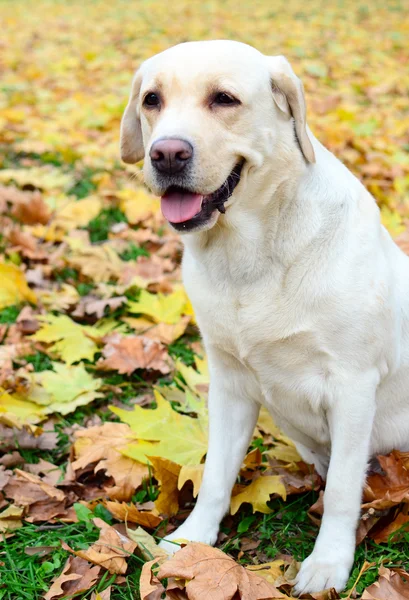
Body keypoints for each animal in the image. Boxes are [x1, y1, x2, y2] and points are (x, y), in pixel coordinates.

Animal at [119, 39, 408, 592]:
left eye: (224, 99)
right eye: (152, 100)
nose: (166, 154)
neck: (249, 256)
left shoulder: (353, 384)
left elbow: (343, 489)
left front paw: (327, 563)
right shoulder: (229, 383)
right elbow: (215, 473)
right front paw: (192, 540)